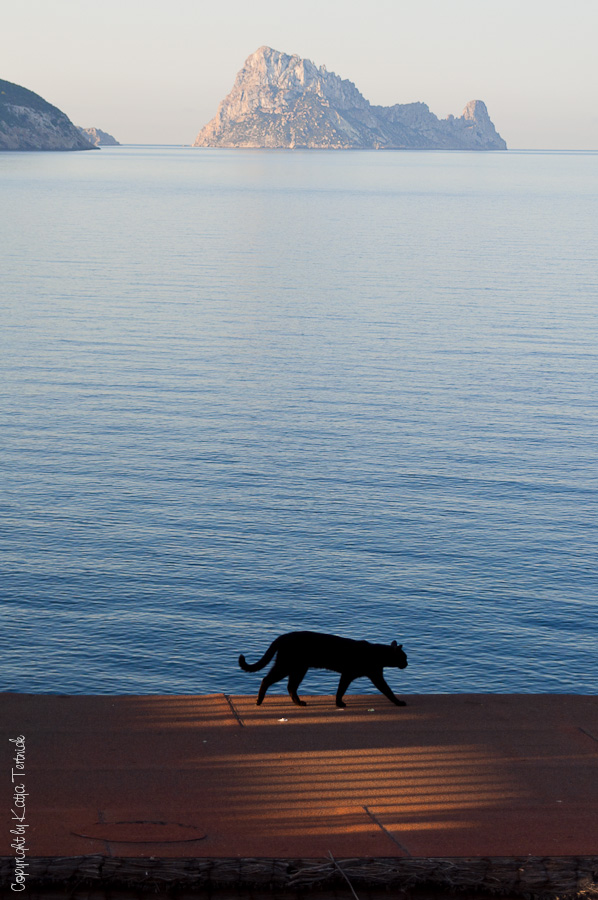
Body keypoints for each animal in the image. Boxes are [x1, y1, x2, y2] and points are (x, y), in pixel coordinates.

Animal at [239, 628, 408, 708]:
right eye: (404, 657)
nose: (407, 663)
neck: (376, 654)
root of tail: (283, 636)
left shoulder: (373, 676)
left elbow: (387, 690)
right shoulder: (350, 674)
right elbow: (342, 689)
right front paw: (339, 703)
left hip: (298, 669)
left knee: (291, 686)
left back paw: (299, 703)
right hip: (286, 666)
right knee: (266, 680)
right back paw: (259, 701)